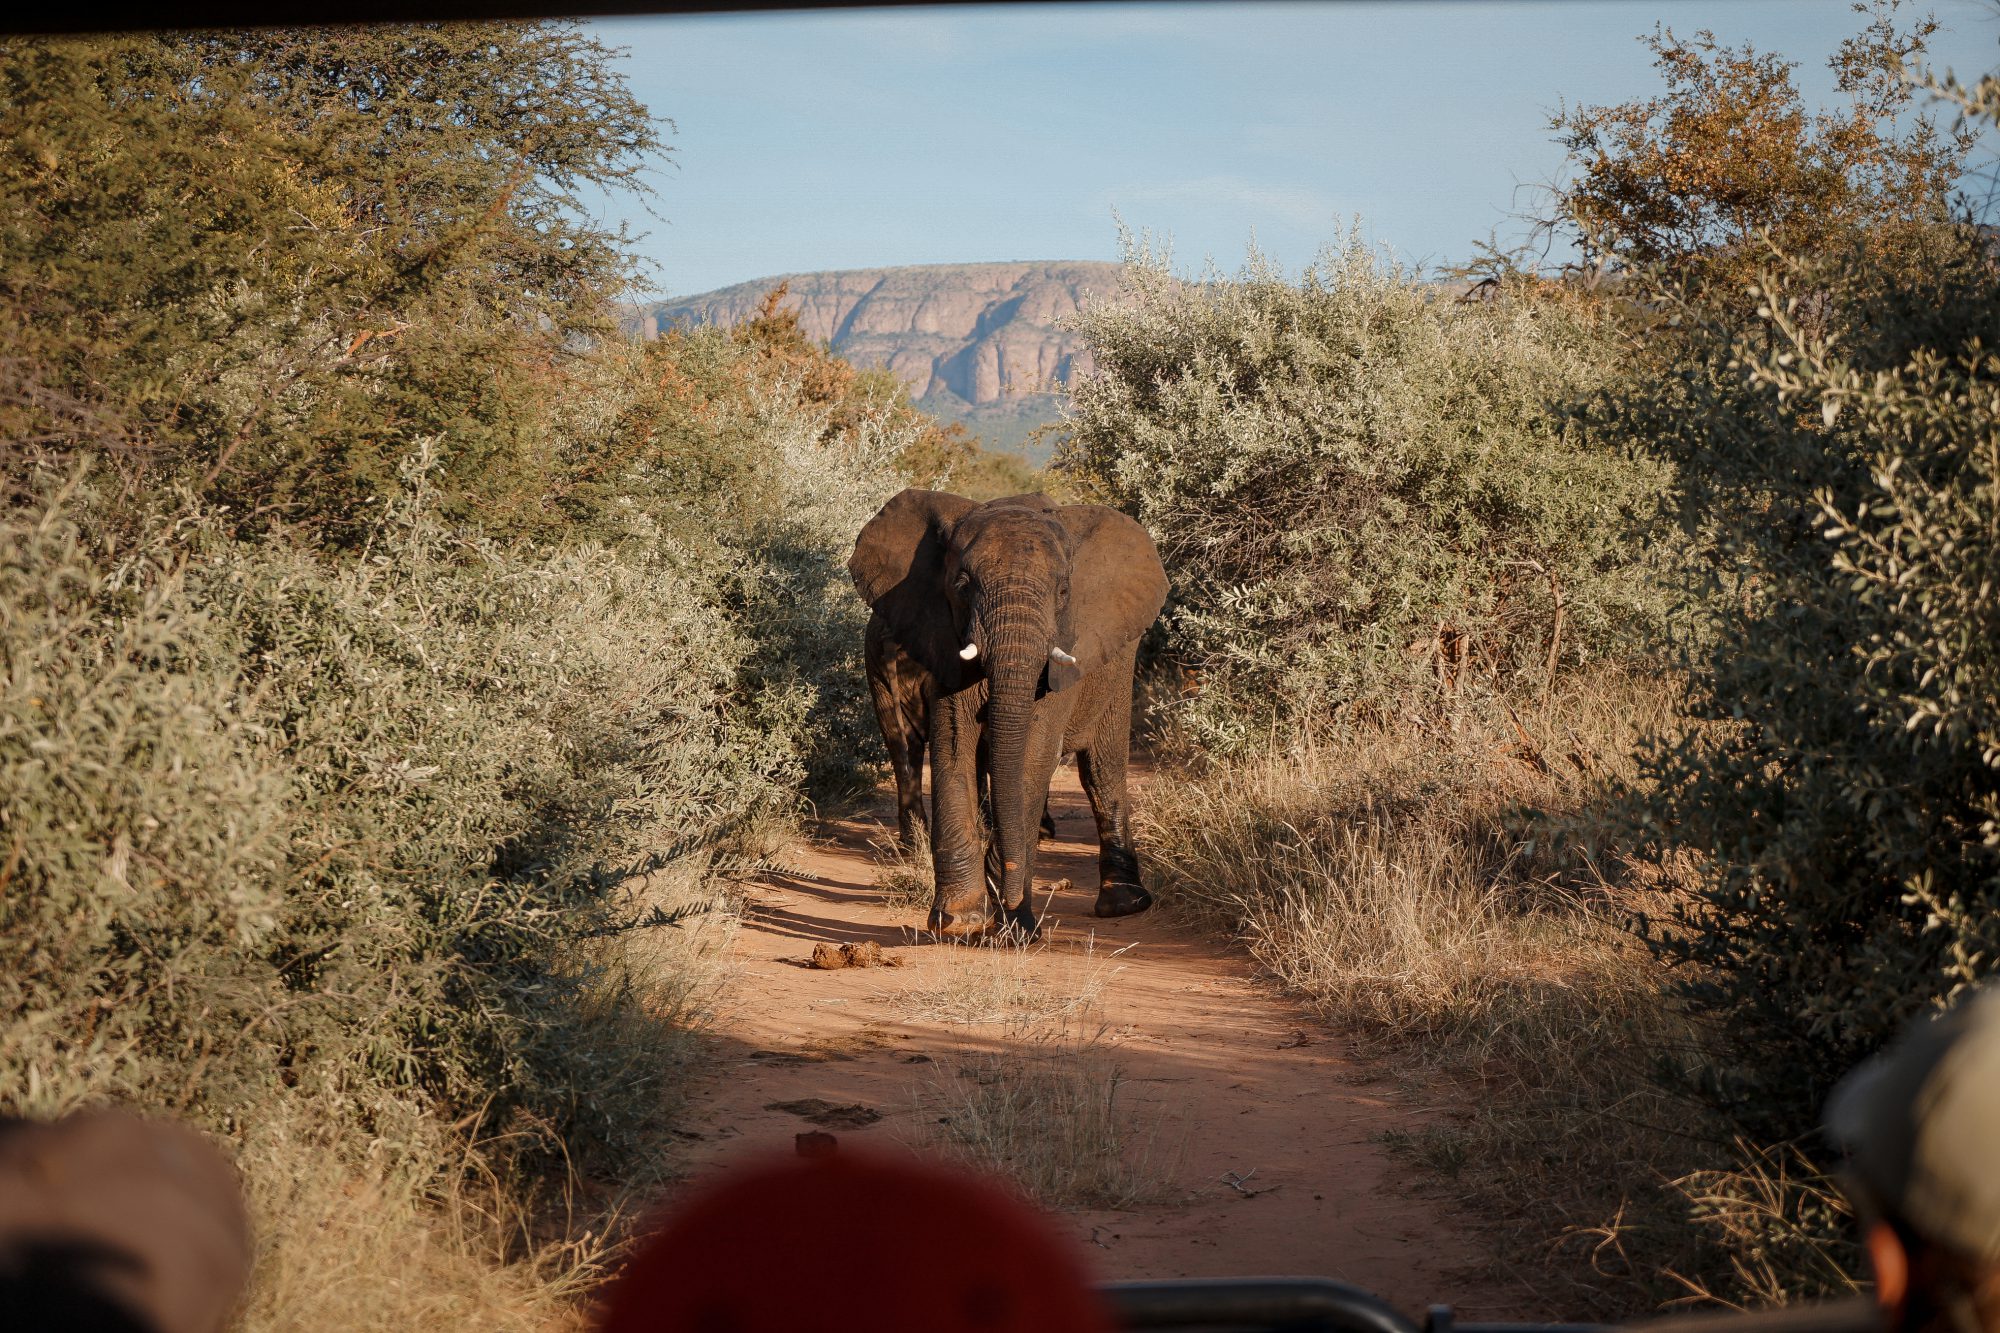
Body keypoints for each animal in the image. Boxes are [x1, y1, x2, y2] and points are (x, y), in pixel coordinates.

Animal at [848, 488, 1168, 932]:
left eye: (1064, 592)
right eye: (963, 587)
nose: (1013, 904)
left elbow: (1034, 754)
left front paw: (1010, 918)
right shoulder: (942, 640)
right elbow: (954, 746)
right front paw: (961, 922)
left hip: (1119, 663)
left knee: (1101, 770)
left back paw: (1123, 905)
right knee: (903, 745)